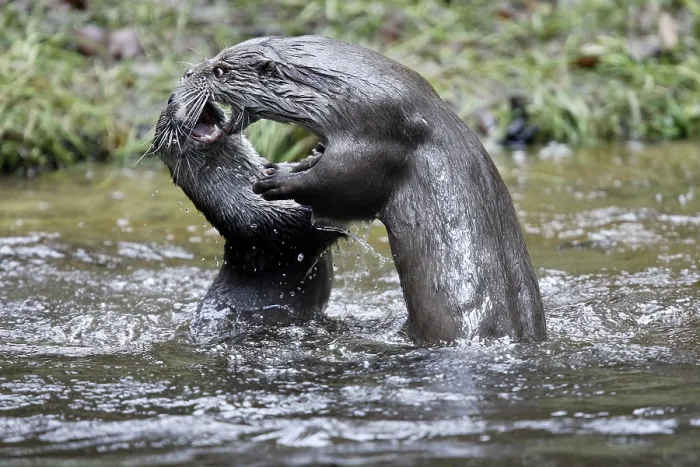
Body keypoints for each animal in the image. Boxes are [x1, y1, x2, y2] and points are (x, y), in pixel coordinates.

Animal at [173, 35, 546, 345]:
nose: (189, 72)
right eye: (216, 57)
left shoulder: (375, 141)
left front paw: (278, 180)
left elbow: (341, 185)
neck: (344, 98)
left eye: (220, 71)